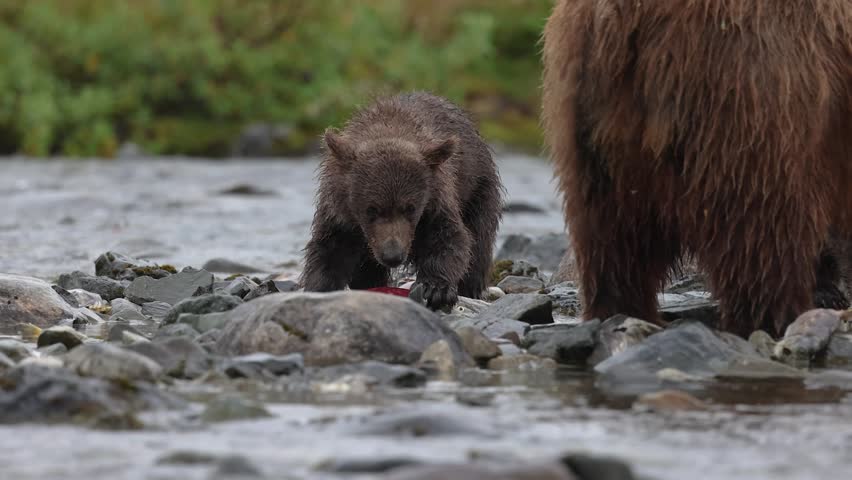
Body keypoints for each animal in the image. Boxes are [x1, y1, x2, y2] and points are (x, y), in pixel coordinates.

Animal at [300, 92, 504, 310]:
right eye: (371, 209)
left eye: (410, 208)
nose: (392, 255)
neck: (389, 129)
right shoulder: (340, 212)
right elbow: (330, 250)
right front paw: (319, 288)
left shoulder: (436, 201)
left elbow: (449, 239)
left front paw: (436, 288)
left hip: (478, 188)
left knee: (479, 239)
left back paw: (471, 288)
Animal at [541, 0, 852, 338]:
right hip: (750, 89)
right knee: (766, 222)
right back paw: (778, 317)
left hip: (592, 122)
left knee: (612, 234)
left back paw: (624, 309)